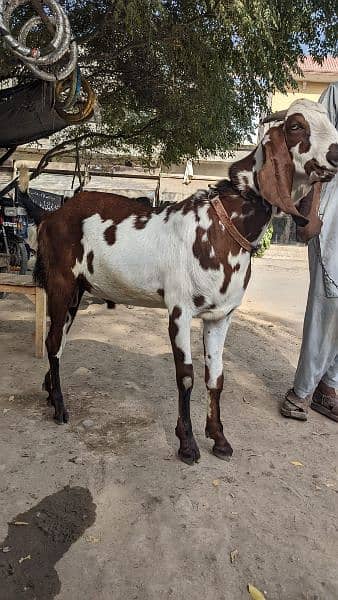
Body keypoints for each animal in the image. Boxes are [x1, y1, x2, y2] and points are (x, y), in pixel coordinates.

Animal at [19, 99, 338, 464]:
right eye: (296, 126)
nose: (336, 153)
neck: (220, 226)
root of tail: (49, 214)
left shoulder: (220, 317)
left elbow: (216, 377)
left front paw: (219, 438)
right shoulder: (180, 311)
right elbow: (186, 377)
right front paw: (187, 443)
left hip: (77, 293)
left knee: (58, 341)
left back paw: (49, 392)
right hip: (60, 285)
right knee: (53, 342)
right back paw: (59, 406)